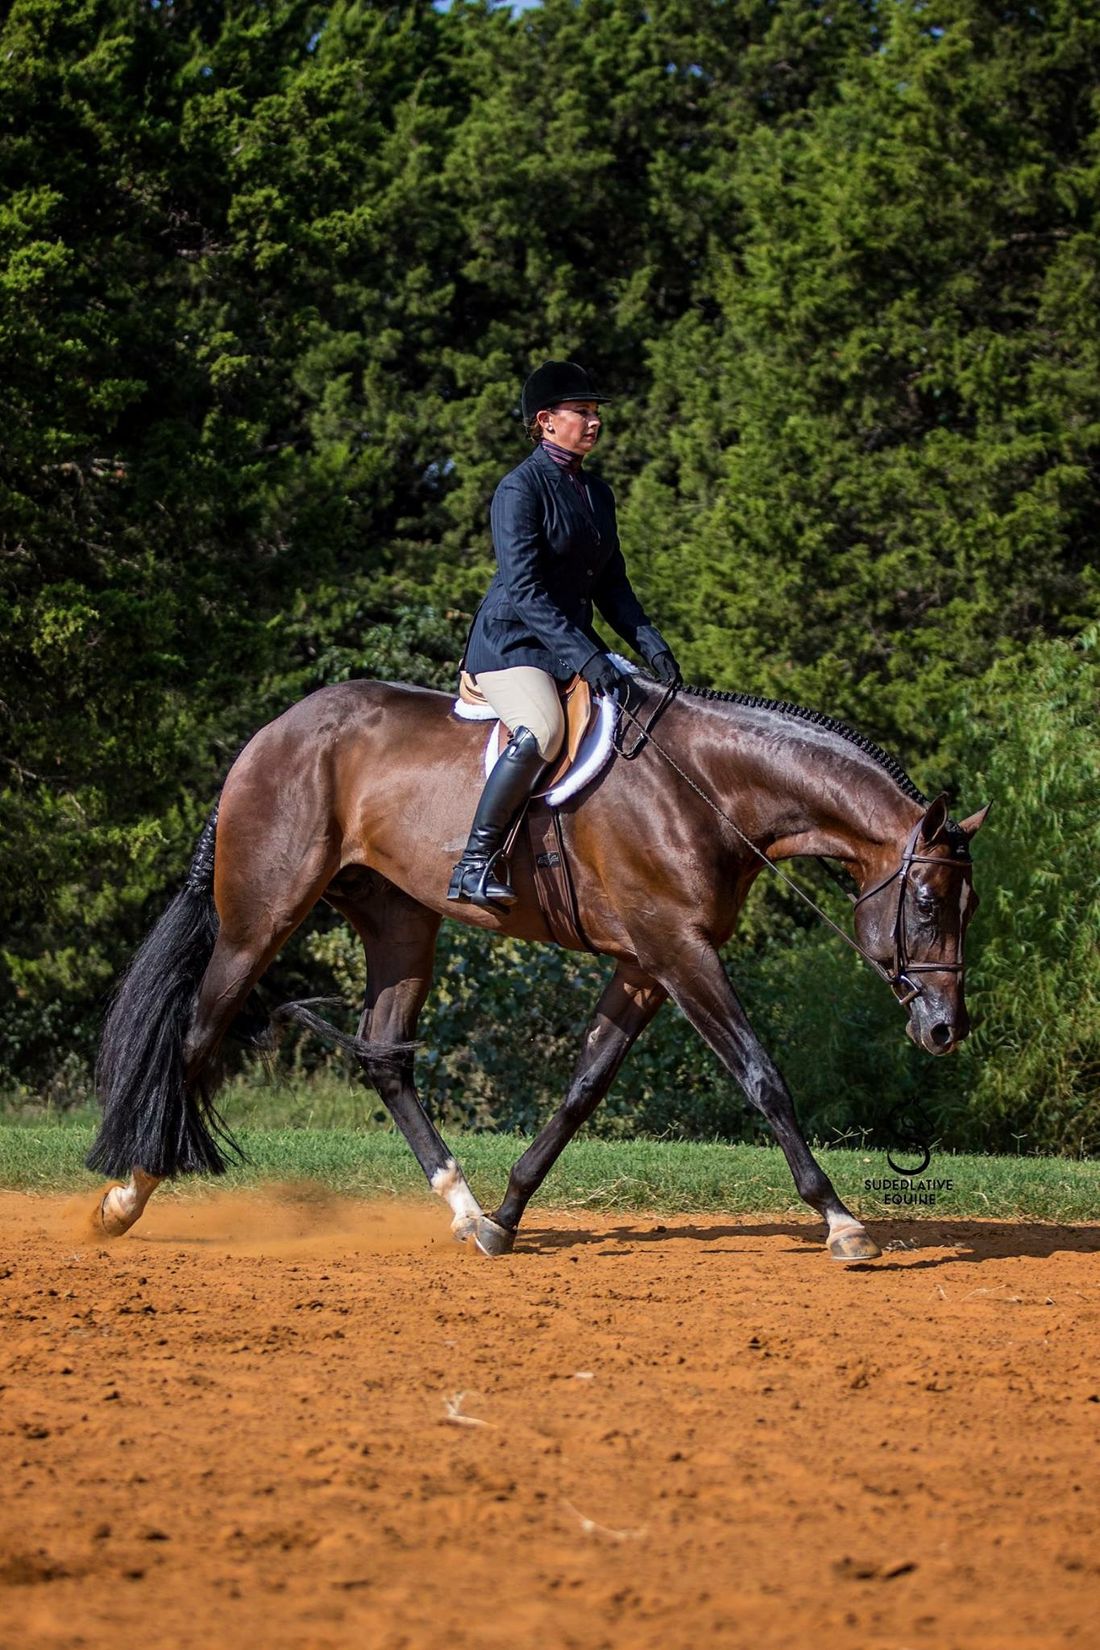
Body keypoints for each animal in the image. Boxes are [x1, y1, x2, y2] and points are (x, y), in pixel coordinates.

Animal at [90, 676, 996, 1267]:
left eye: (970, 904)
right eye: (925, 901)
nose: (943, 1028)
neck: (707, 791)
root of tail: (269, 735)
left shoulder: (643, 965)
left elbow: (582, 1089)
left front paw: (506, 1215)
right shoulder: (679, 951)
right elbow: (762, 1076)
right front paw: (841, 1221)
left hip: (401, 924)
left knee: (384, 1059)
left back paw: (460, 1205)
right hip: (260, 919)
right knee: (196, 1038)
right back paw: (124, 1199)